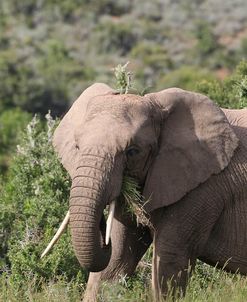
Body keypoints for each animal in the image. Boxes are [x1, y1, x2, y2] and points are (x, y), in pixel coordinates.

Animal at [45, 83, 247, 302]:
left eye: (132, 151)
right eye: (77, 146)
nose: (101, 225)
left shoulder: (200, 190)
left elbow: (169, 258)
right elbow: (116, 258)